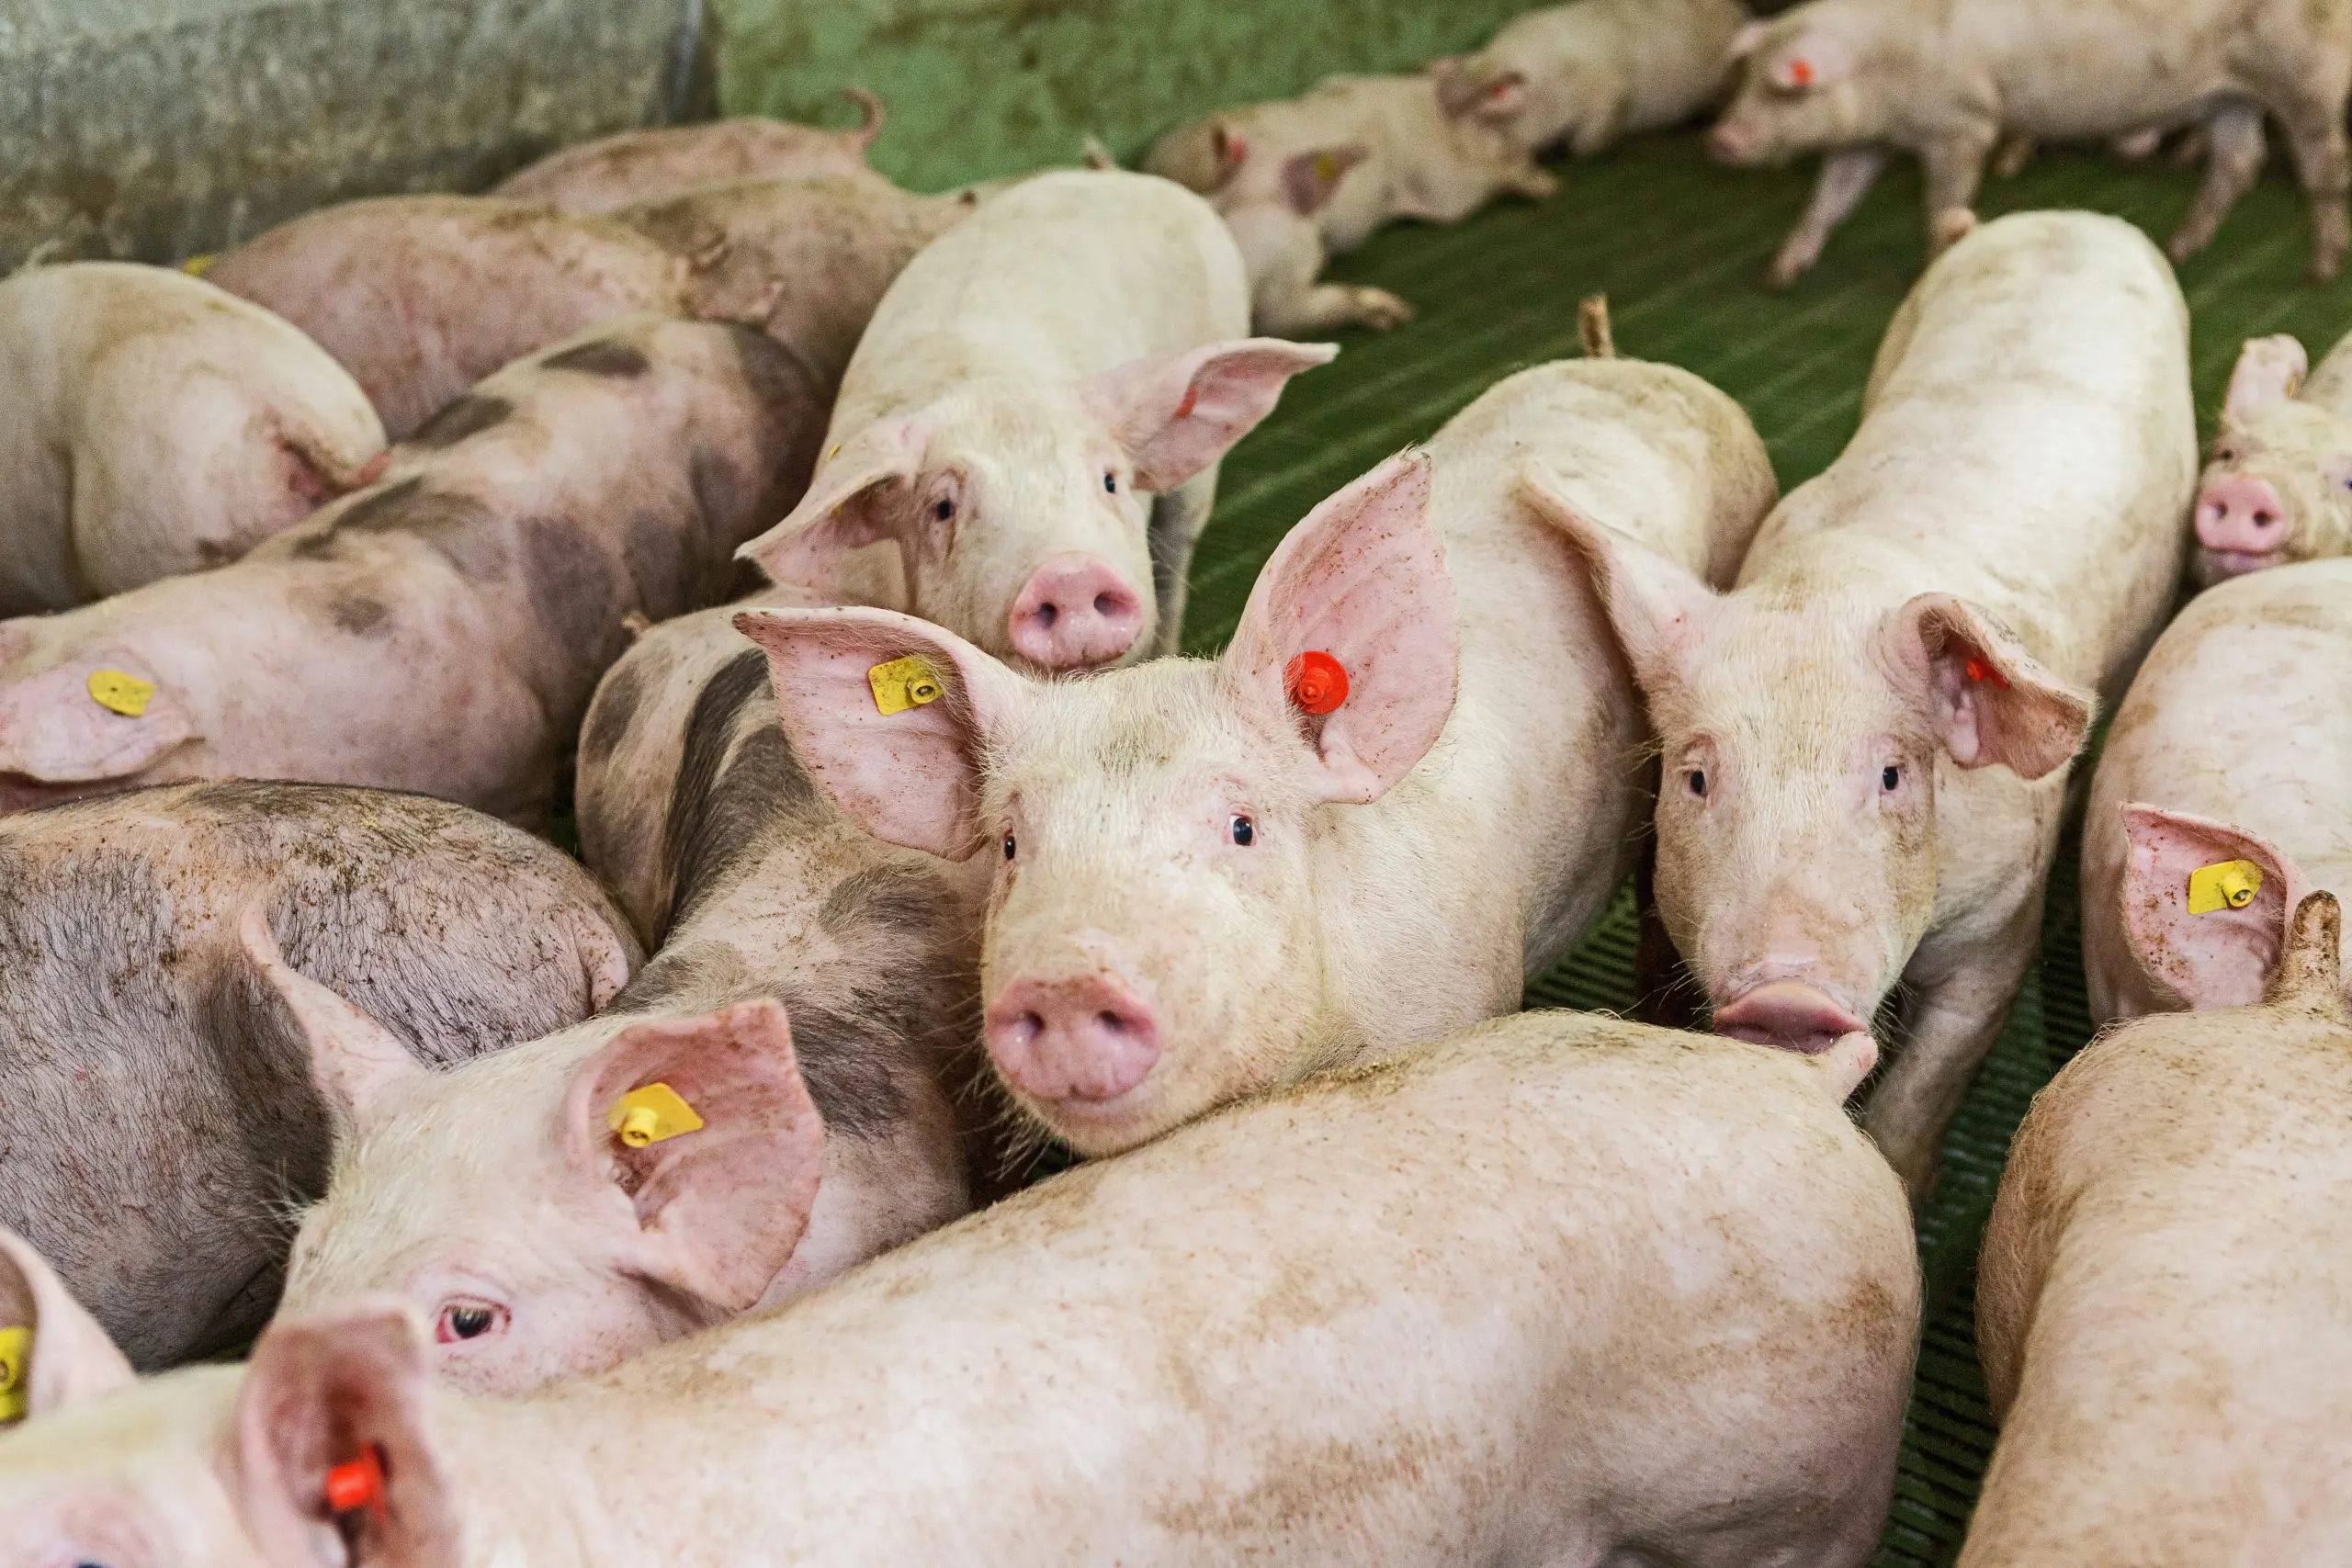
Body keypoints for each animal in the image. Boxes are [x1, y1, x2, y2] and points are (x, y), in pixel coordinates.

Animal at [1428, 0, 1751, 162]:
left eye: (1497, 92)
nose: (1446, 105)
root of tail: (1738, 14)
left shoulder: (1612, 90)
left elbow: (1598, 127)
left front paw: (1578, 150)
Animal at [1545, 212, 2193, 1199]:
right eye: (1696, 779)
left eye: (1892, 775)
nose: (1786, 996)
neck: (1831, 589)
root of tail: (2067, 218)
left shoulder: (2000, 931)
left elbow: (1920, 1099)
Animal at [1709, 0, 2352, 287]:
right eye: (1748, 79)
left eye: (1785, 86)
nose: (1720, 140)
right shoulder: (1869, 139)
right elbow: (1828, 203)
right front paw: (1778, 276)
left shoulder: (1962, 127)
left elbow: (1943, 204)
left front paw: (1936, 262)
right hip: (2230, 99)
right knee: (2239, 164)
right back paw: (2178, 252)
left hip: (2307, 86)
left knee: (2327, 170)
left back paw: (2321, 271)